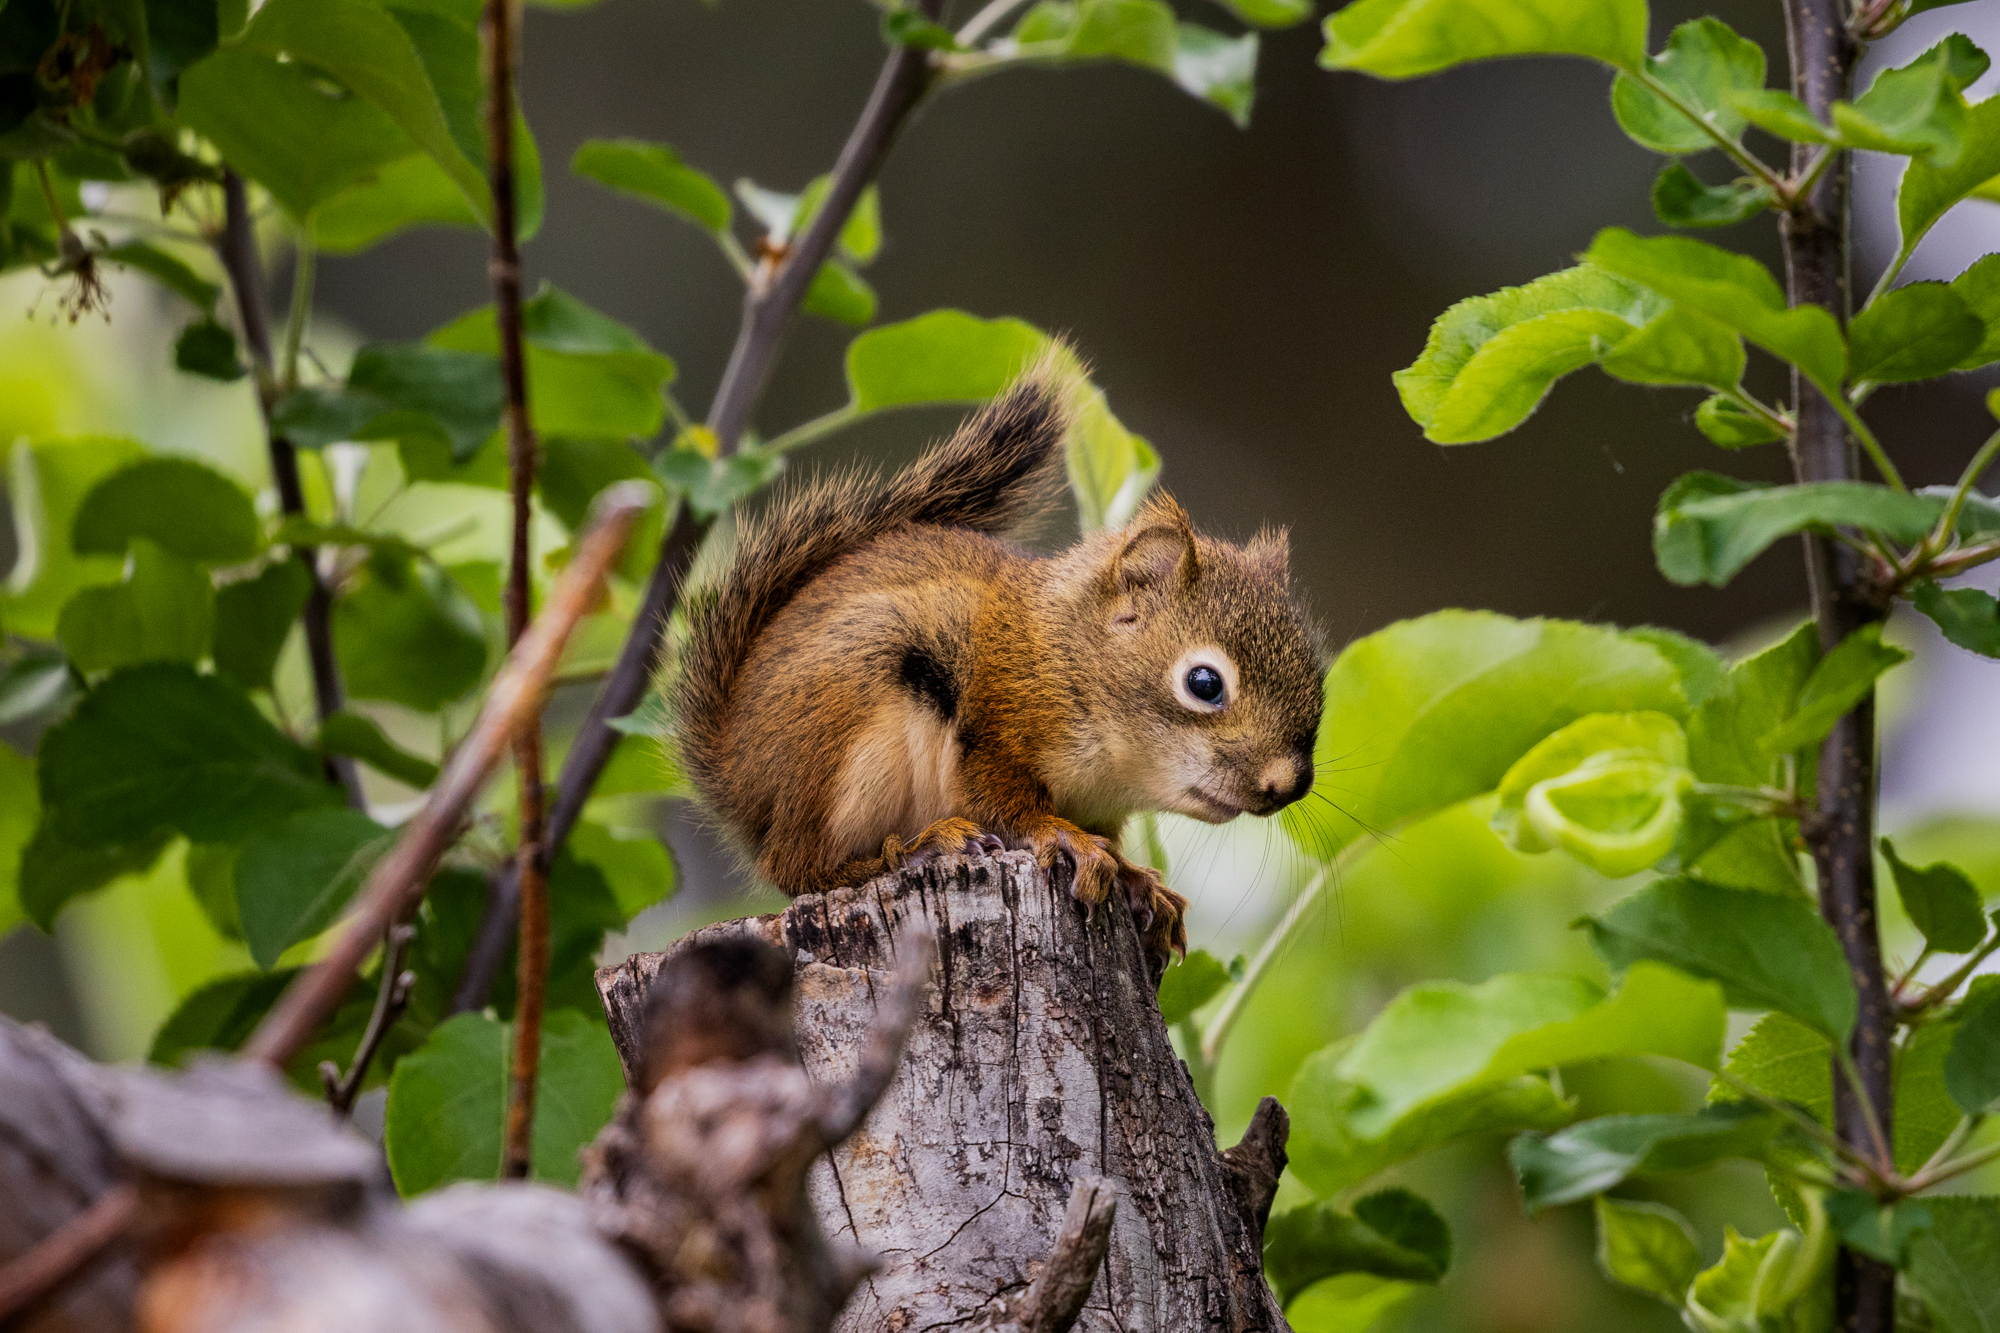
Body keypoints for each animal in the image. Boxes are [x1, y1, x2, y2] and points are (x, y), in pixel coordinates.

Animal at [668, 356, 1326, 968]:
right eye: (1204, 683)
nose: (1288, 785)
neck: (1066, 656)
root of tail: (737, 776)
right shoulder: (995, 724)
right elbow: (1005, 802)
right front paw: (1063, 838)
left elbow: (1113, 845)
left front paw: (1140, 881)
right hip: (843, 737)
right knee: (797, 865)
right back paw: (915, 849)